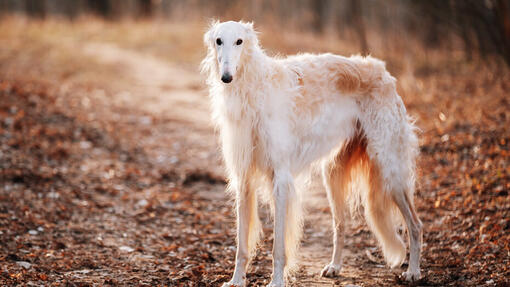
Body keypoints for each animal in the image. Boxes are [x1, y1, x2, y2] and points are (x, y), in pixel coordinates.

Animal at [201, 20, 424, 287]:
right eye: (218, 41)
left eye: (239, 41)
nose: (226, 77)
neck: (253, 90)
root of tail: (384, 72)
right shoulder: (244, 178)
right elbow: (241, 246)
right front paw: (236, 280)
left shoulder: (280, 179)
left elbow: (278, 246)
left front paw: (277, 281)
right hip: (334, 174)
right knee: (341, 225)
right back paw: (335, 266)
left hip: (391, 171)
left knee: (416, 224)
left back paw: (413, 271)